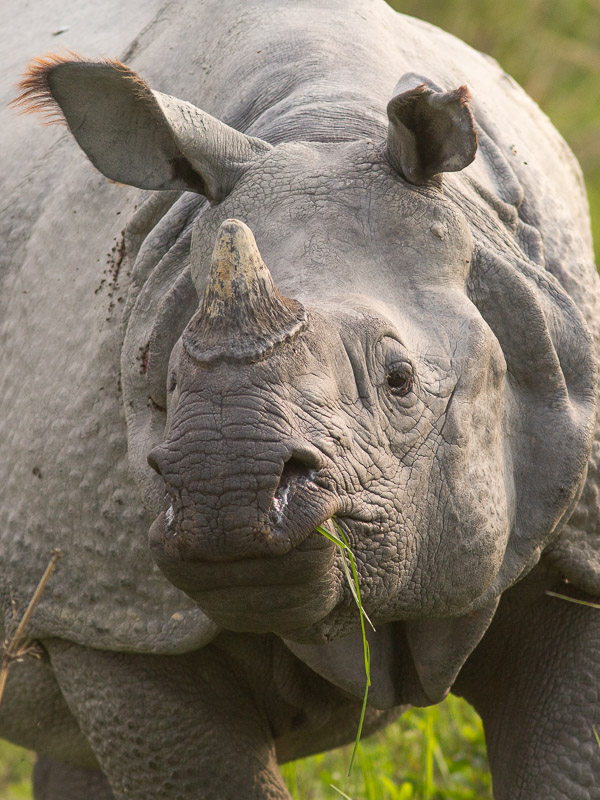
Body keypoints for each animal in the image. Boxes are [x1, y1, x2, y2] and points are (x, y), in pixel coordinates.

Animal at [1, 0, 600, 796]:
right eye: (164, 381)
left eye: (399, 380)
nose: (228, 494)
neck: (325, 121)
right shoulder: (110, 615)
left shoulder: (581, 537)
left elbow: (566, 754)